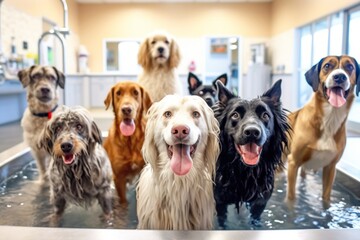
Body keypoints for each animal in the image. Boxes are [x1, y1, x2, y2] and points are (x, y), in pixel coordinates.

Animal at [212, 79, 292, 228]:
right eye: (235, 115)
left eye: (265, 115)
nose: (252, 132)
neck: (244, 171)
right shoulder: (219, 202)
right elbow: (222, 221)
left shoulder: (259, 203)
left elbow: (254, 220)